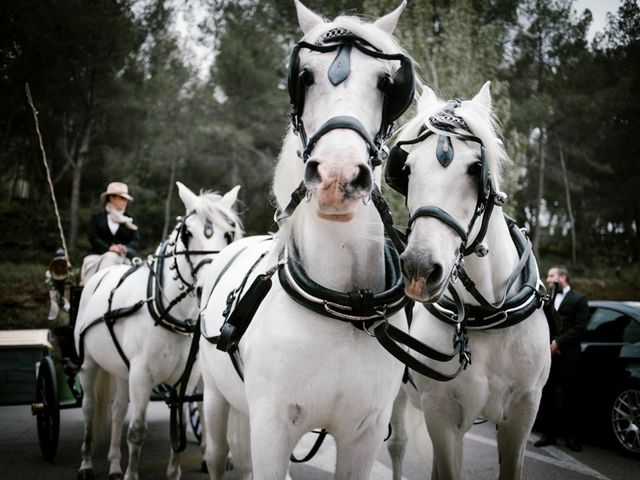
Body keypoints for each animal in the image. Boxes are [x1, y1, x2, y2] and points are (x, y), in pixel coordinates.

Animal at [73, 183, 242, 480]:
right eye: (187, 233)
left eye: (228, 233)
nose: (206, 288)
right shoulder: (141, 373)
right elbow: (137, 431)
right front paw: (131, 474)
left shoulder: (186, 375)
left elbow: (181, 425)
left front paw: (173, 472)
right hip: (90, 364)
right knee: (90, 409)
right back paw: (87, 464)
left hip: (121, 370)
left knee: (117, 410)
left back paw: (114, 464)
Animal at [198, 1, 412, 478]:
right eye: (305, 76)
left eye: (386, 82)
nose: (337, 176)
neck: (344, 304)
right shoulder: (271, 428)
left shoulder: (365, 434)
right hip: (215, 397)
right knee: (218, 453)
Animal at [382, 84, 552, 478]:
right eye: (407, 170)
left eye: (476, 168)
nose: (419, 269)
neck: (485, 316)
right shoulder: (441, 413)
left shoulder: (523, 411)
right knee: (397, 445)